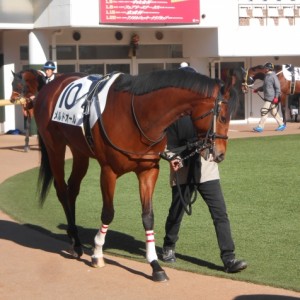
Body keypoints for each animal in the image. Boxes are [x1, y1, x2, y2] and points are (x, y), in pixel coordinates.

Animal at [34, 69, 238, 282]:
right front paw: (98, 253)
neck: (138, 115)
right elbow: (108, 213)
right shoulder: (108, 171)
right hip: (55, 147)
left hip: (79, 151)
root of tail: (51, 85)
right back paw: (75, 242)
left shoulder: (148, 171)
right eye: (223, 117)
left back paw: (76, 240)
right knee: (62, 190)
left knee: (72, 189)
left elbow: (148, 216)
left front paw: (155, 265)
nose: (220, 154)